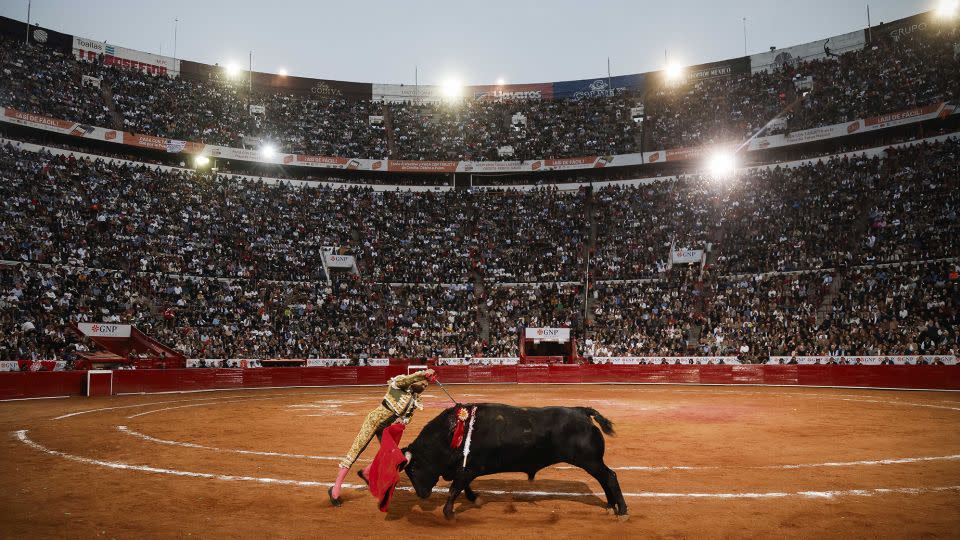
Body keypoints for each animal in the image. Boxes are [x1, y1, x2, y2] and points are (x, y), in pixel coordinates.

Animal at [402, 404, 628, 520]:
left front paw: (448, 513)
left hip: (590, 460)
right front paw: (475, 499)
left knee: (610, 477)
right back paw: (610, 507)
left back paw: (623, 511)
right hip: (592, 462)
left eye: (414, 468)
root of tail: (582, 411)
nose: (421, 495)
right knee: (604, 479)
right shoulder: (466, 468)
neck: (452, 433)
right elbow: (463, 487)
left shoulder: (468, 468)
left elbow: (454, 489)